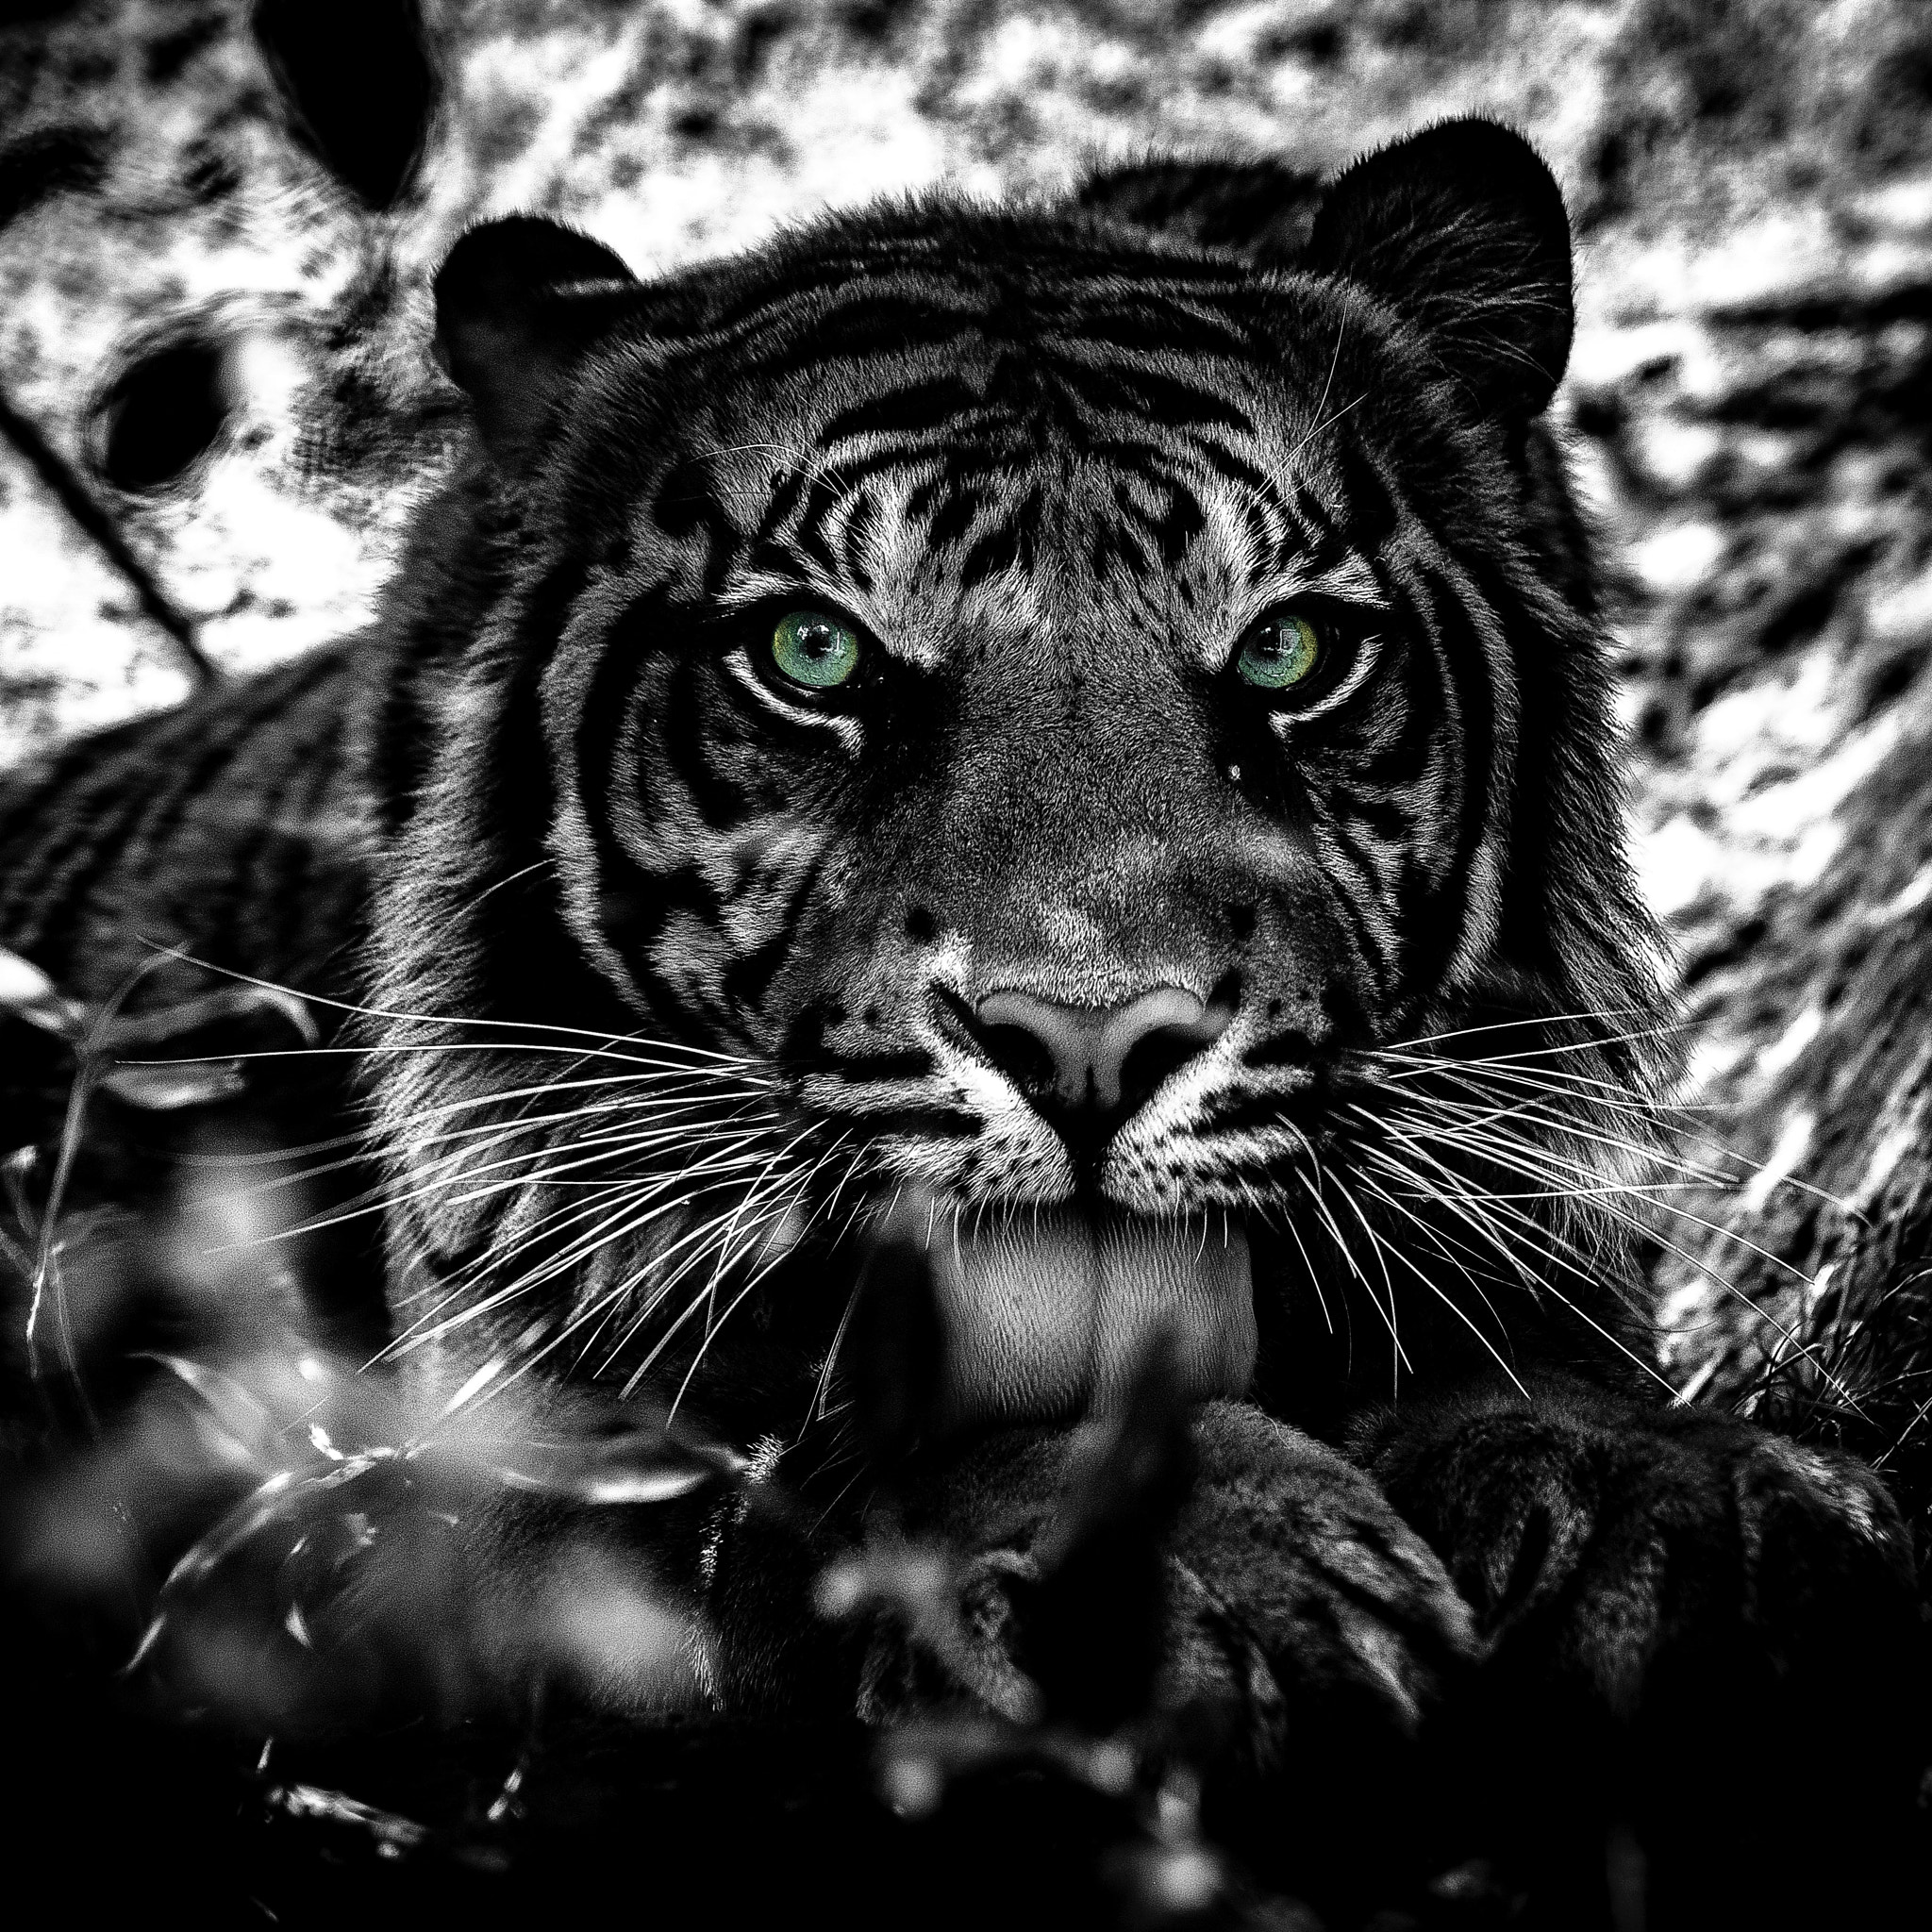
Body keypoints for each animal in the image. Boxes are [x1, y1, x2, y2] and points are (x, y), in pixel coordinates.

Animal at [0, 118, 1921, 1917]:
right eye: (813, 654)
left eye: (1289, 652)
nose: (1083, 1048)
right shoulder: (509, 1502)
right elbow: (826, 1495)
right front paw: (1174, 1563)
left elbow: (1558, 1396)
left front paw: (1696, 1521)